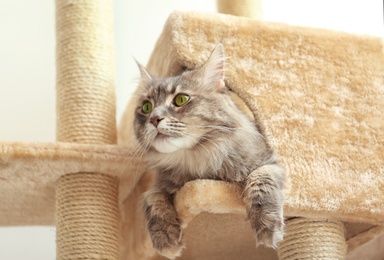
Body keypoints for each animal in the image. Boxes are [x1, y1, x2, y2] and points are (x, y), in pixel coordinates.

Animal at [133, 43, 284, 258]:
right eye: (146, 107)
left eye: (181, 100)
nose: (154, 118)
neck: (195, 159)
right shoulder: (159, 185)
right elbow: (152, 197)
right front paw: (167, 239)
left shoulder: (269, 162)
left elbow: (260, 179)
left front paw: (267, 227)